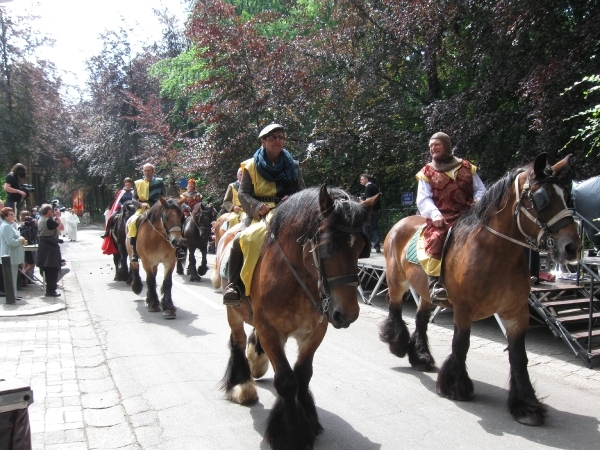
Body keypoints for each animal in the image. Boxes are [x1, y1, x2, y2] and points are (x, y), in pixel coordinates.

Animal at [213, 185, 378, 450]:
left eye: (361, 245)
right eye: (328, 245)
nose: (348, 314)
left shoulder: (315, 332)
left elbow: (303, 375)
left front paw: (308, 418)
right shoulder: (270, 332)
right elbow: (287, 380)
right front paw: (292, 433)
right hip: (233, 312)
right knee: (237, 341)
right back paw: (242, 384)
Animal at [380, 154, 580, 426]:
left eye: (566, 196)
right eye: (541, 198)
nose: (572, 247)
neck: (495, 253)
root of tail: (400, 223)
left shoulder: (517, 313)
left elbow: (519, 356)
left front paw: (526, 404)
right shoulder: (464, 310)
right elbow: (461, 343)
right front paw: (456, 386)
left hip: (424, 292)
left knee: (421, 319)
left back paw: (420, 357)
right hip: (396, 281)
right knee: (395, 308)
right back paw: (398, 344)